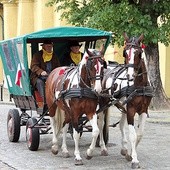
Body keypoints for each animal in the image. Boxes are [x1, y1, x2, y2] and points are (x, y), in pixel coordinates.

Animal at [100, 33, 153, 169]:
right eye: (125, 53)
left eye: (138, 53)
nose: (130, 75)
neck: (139, 86)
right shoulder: (131, 109)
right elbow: (132, 135)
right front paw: (134, 159)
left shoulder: (143, 110)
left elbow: (139, 134)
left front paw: (129, 153)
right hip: (103, 104)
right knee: (100, 124)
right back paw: (103, 148)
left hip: (122, 106)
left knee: (121, 125)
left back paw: (124, 148)